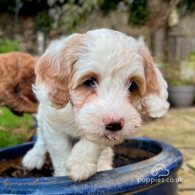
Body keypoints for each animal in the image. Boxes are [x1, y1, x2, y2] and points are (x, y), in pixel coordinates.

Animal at [22, 28, 169, 181]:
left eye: (133, 86)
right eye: (89, 81)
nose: (115, 124)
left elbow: (96, 141)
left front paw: (80, 164)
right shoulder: (53, 123)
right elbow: (60, 150)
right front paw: (64, 174)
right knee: (41, 134)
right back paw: (34, 156)